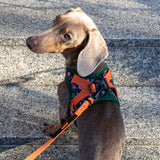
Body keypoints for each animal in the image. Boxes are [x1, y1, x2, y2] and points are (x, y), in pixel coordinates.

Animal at [26, 7, 125, 160]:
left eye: (67, 36)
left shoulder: (64, 102)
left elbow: (61, 124)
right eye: (56, 18)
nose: (29, 42)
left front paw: (51, 130)